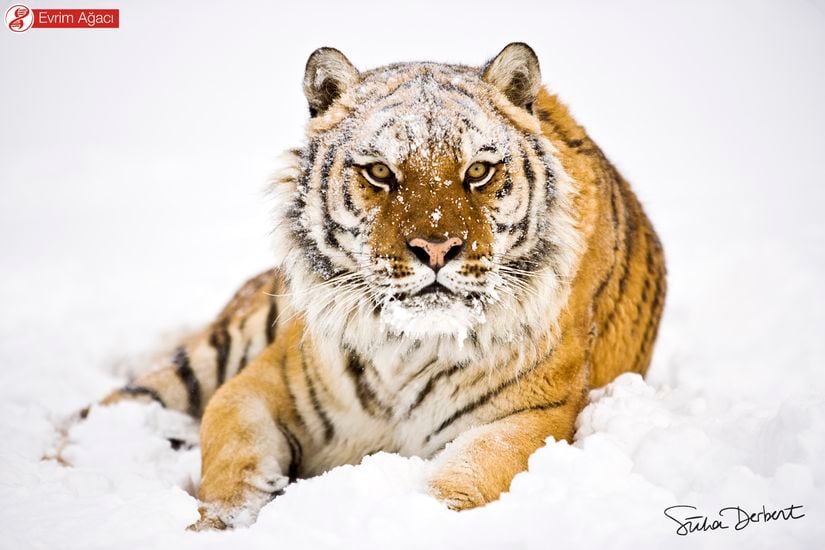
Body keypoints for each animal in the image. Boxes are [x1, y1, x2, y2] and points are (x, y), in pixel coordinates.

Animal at [95, 44, 664, 536]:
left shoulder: (533, 416)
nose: (436, 248)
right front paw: (215, 525)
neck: (408, 349)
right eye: (380, 172)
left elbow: (465, 478)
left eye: (478, 171)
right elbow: (233, 457)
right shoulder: (258, 385)